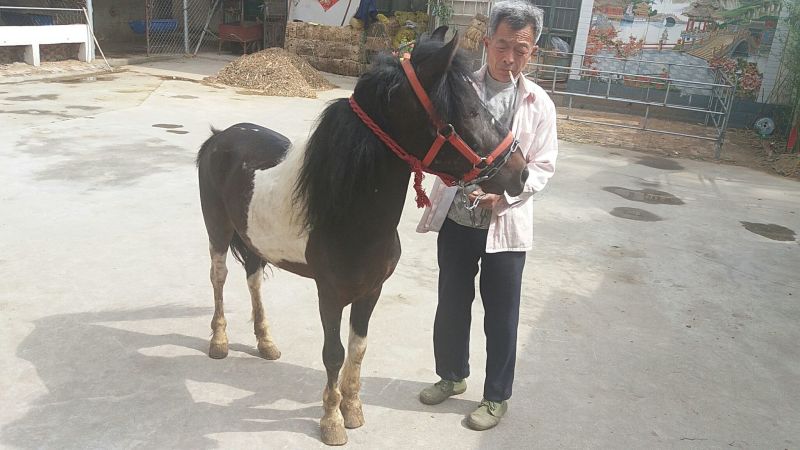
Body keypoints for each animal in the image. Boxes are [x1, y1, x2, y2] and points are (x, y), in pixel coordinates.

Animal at [195, 27, 529, 445]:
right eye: (468, 111)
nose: (521, 170)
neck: (352, 214)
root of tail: (218, 137)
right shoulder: (329, 294)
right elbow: (333, 353)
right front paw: (332, 422)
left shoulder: (371, 291)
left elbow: (358, 348)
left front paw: (353, 410)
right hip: (219, 231)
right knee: (219, 277)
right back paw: (219, 342)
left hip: (253, 239)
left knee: (254, 279)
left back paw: (266, 343)